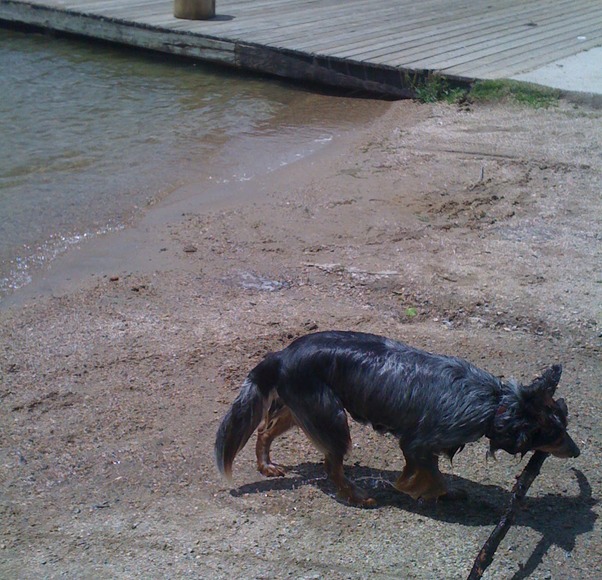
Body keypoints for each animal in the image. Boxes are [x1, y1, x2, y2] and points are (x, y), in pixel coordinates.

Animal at [214, 334, 576, 506]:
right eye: (555, 433)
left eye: (564, 427)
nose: (578, 451)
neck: (494, 403)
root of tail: (282, 354)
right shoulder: (417, 443)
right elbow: (433, 477)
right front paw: (427, 492)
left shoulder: (419, 447)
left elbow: (430, 473)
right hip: (331, 419)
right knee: (332, 466)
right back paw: (357, 497)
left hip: (300, 409)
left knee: (264, 430)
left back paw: (266, 465)